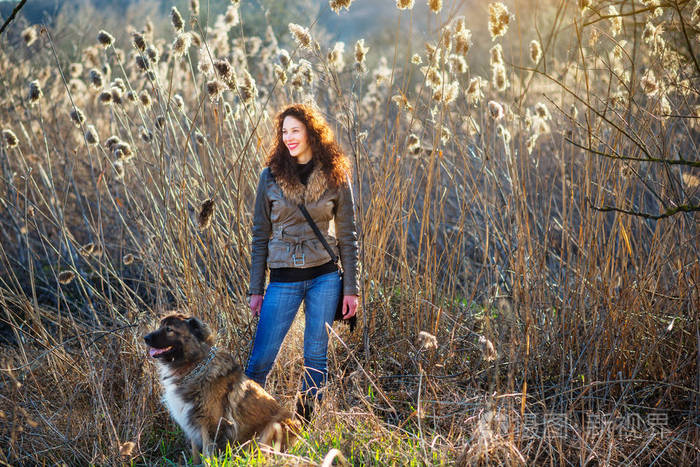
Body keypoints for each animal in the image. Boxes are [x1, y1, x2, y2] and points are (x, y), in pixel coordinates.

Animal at [144, 314, 300, 460]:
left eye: (169, 329)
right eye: (160, 326)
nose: (145, 337)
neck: (195, 366)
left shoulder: (210, 425)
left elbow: (208, 455)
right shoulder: (192, 424)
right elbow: (195, 455)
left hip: (276, 424)